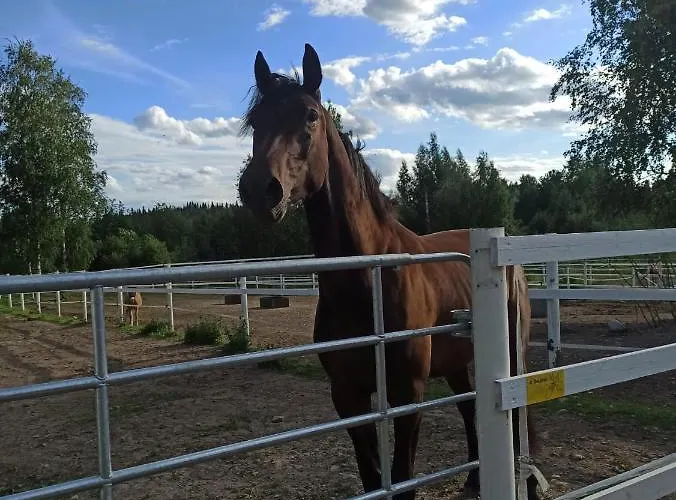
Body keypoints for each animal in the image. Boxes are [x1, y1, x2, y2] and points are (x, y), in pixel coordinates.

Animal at [237, 43, 544, 500]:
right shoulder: (347, 395)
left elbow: (403, 479)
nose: (260, 189)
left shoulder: (407, 393)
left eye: (310, 115)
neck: (368, 281)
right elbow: (372, 475)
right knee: (468, 409)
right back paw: (474, 479)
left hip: (511, 354)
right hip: (457, 363)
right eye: (256, 121)